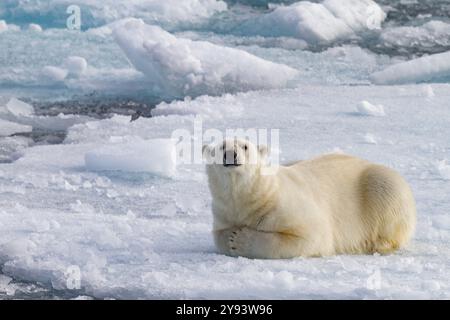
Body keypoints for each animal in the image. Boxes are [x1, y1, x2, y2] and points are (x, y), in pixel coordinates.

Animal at [203, 139, 414, 258]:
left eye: (245, 146)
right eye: (221, 147)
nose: (231, 154)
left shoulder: (285, 205)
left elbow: (311, 235)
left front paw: (238, 239)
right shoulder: (224, 213)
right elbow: (219, 235)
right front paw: (231, 236)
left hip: (380, 185)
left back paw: (376, 243)